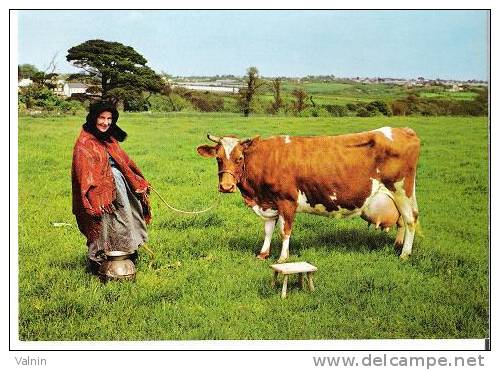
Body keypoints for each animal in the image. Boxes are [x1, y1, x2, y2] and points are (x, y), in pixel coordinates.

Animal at [197, 128, 420, 264]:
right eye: (218, 158)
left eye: (239, 157)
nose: (226, 186)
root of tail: (404, 130)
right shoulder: (269, 202)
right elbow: (268, 230)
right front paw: (263, 254)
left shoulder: (287, 201)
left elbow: (284, 231)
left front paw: (282, 258)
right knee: (403, 221)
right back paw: (397, 245)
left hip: (401, 190)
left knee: (410, 220)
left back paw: (405, 254)